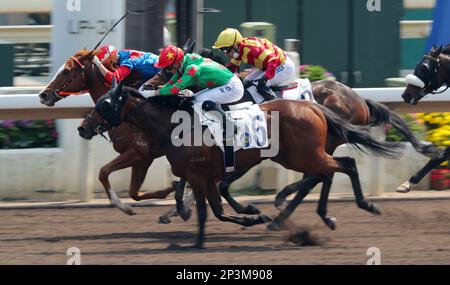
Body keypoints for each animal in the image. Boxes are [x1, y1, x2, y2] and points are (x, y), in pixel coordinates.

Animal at [82, 80, 402, 246]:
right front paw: (252, 215)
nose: (83, 127)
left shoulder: (201, 174)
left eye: (105, 105)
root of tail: (313, 106)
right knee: (328, 171)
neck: (176, 124)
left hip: (306, 154)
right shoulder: (206, 175)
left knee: (343, 165)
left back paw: (363, 205)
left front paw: (198, 235)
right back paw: (307, 216)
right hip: (299, 155)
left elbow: (208, 208)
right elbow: (216, 208)